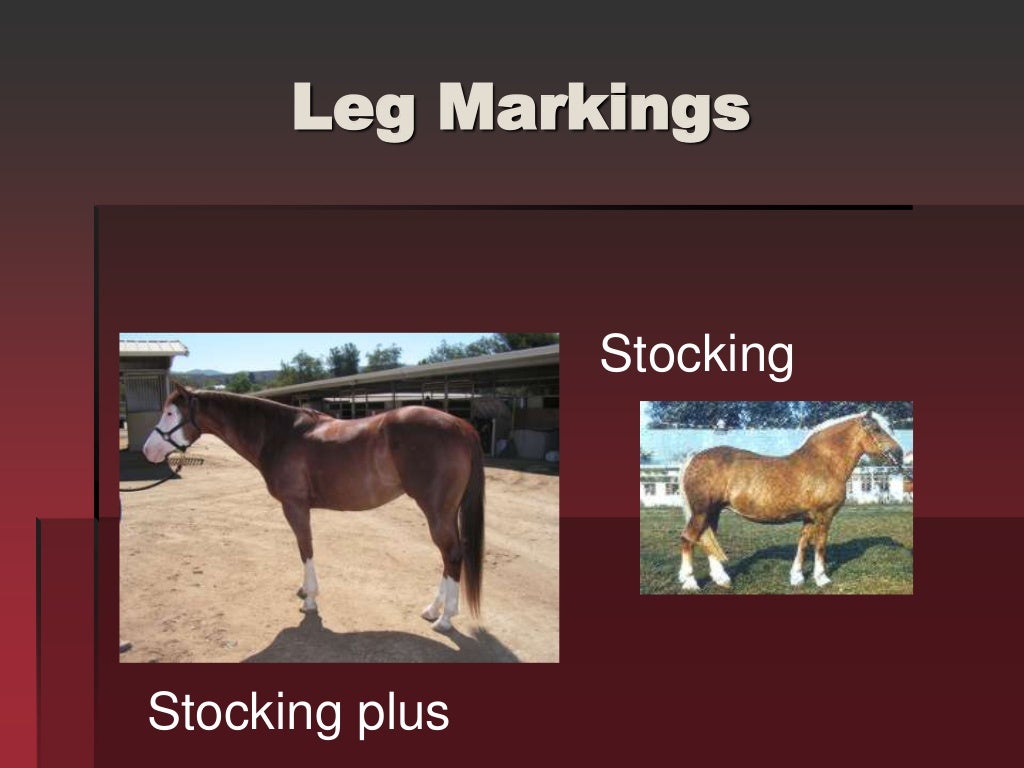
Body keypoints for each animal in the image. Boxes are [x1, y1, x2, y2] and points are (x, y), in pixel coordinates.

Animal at [142, 383, 484, 632]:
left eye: (170, 413)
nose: (148, 450)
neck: (280, 434)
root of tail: (461, 425)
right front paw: (305, 591)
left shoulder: (294, 506)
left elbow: (304, 547)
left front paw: (309, 599)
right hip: (445, 513)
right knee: (449, 557)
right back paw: (432, 610)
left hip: (436, 511)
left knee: (452, 555)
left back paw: (445, 619)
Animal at [677, 411, 903, 590]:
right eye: (877, 429)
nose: (899, 454)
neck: (824, 463)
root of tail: (694, 458)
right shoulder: (825, 515)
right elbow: (820, 545)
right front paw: (822, 578)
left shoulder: (809, 517)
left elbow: (803, 543)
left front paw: (796, 578)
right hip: (701, 512)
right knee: (688, 538)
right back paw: (690, 582)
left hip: (712, 512)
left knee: (707, 539)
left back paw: (722, 579)